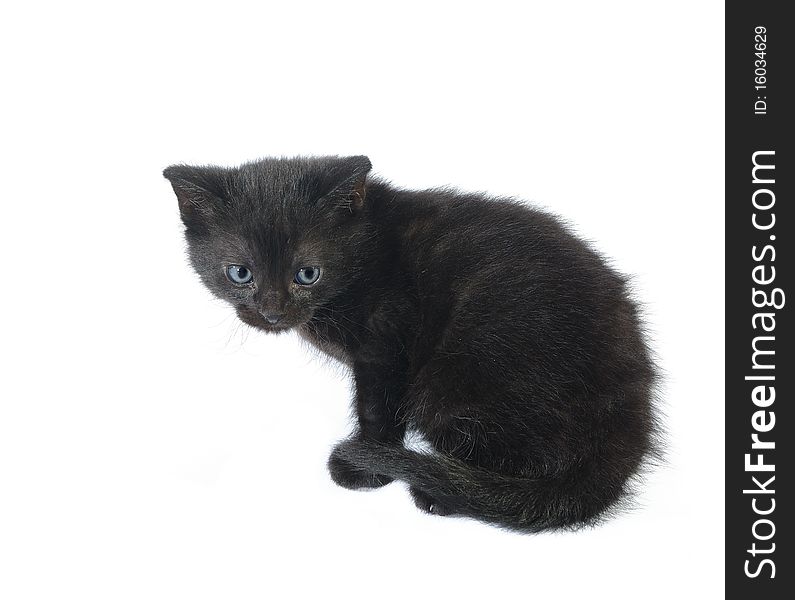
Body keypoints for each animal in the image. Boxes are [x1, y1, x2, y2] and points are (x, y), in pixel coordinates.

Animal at [163, 157, 660, 532]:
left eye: (307, 273)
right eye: (239, 273)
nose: (271, 312)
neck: (365, 249)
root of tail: (625, 432)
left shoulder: (386, 341)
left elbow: (378, 408)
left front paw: (367, 469)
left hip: (450, 383)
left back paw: (438, 492)